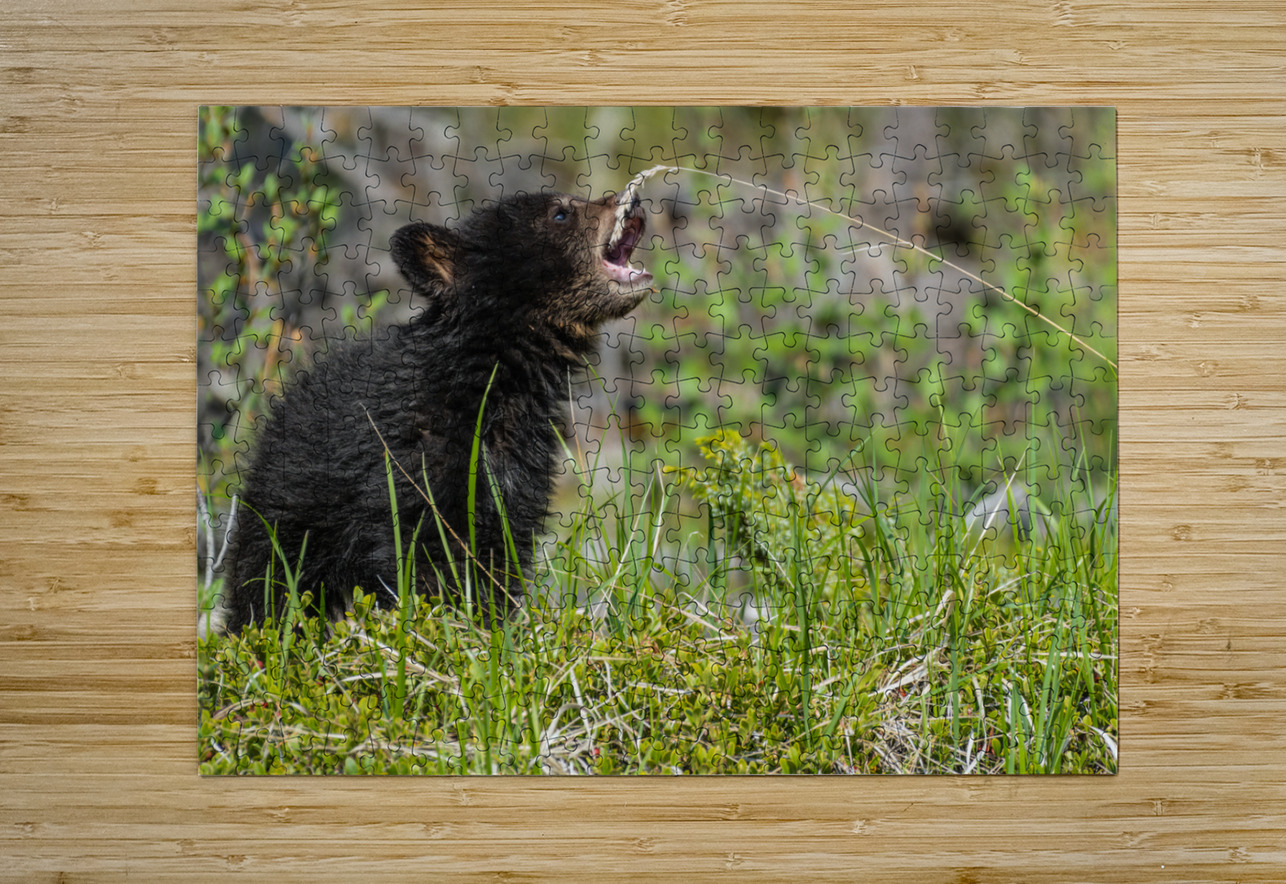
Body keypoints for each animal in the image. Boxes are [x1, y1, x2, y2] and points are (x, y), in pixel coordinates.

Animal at [220, 187, 653, 631]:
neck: (492, 378)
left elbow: (502, 551)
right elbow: (423, 554)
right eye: (561, 212)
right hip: (286, 529)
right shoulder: (409, 460)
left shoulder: (518, 468)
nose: (631, 200)